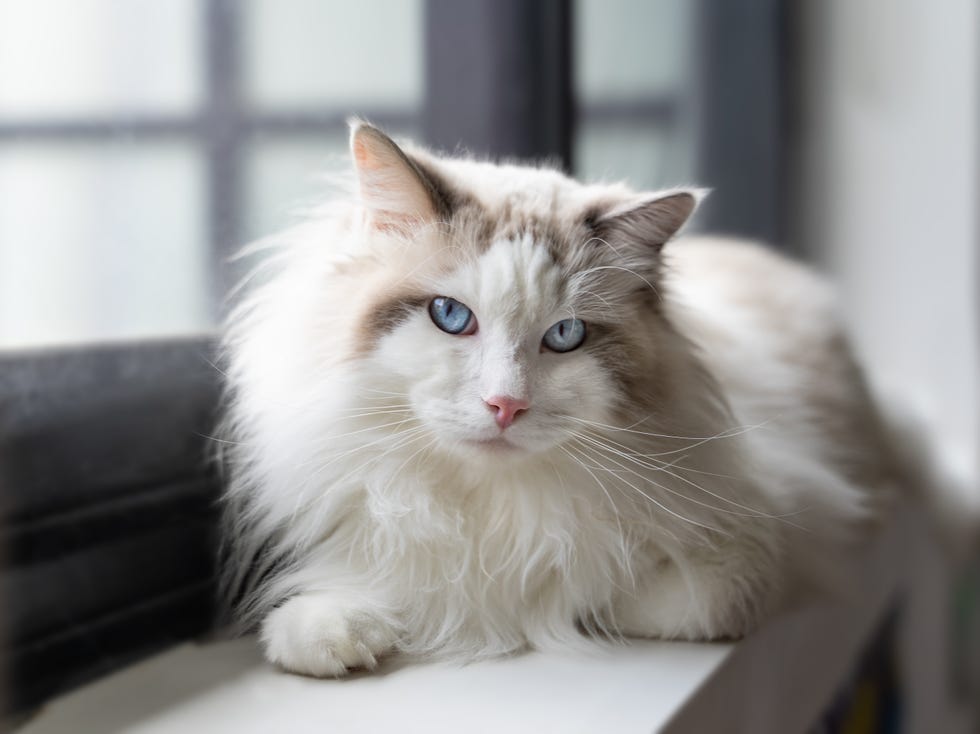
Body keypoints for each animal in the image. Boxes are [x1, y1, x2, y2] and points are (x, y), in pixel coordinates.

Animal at [220, 119, 896, 680]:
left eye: (566, 335)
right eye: (450, 316)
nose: (505, 406)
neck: (494, 507)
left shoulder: (759, 552)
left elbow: (610, 595)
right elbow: (364, 592)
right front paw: (339, 631)